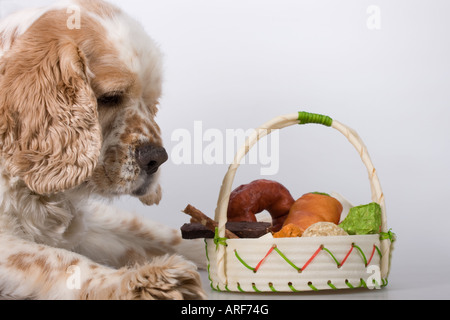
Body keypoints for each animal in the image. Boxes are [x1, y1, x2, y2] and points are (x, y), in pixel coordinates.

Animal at [0, 0, 206, 300]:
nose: (157, 159)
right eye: (109, 98)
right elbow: (58, 260)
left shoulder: (88, 224)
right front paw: (145, 282)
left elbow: (152, 232)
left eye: (151, 103)